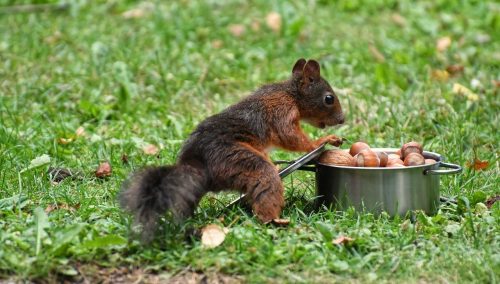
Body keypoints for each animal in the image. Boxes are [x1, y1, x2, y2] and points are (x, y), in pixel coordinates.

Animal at [119, 58, 346, 241]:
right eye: (329, 98)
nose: (342, 119)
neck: (290, 94)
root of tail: (199, 166)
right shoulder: (282, 111)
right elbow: (289, 136)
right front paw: (322, 141)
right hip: (237, 161)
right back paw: (274, 221)